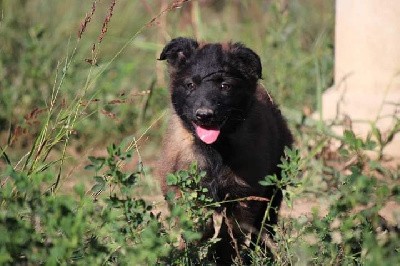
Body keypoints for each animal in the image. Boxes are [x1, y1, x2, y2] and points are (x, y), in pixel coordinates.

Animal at [157, 37, 294, 264]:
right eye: (190, 85)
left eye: (225, 86)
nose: (204, 115)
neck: (215, 151)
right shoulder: (184, 191)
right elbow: (196, 228)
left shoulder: (243, 197)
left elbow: (229, 237)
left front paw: (224, 257)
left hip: (273, 191)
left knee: (264, 228)